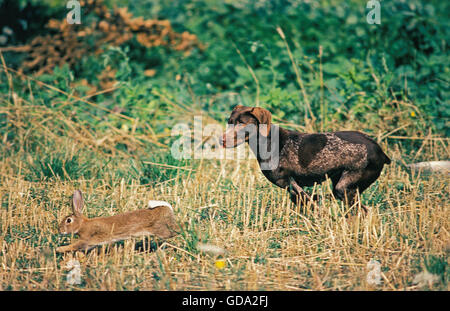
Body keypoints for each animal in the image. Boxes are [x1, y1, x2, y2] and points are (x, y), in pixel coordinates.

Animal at [221, 106, 390, 213]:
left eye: (242, 123)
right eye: (229, 122)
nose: (221, 140)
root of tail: (380, 151)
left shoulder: (291, 183)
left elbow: (311, 202)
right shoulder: (295, 189)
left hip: (344, 187)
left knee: (364, 211)